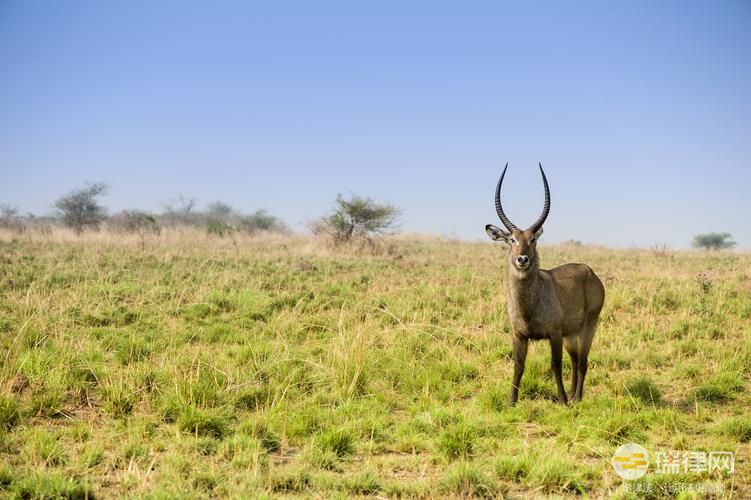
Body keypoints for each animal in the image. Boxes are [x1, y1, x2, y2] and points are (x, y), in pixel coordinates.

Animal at [488, 164, 604, 406]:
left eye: (533, 239)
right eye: (511, 239)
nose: (522, 259)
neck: (529, 305)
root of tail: (590, 272)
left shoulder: (554, 334)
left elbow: (556, 365)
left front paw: (561, 401)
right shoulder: (519, 335)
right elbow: (518, 365)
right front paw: (511, 401)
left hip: (588, 325)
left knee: (583, 361)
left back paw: (576, 398)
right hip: (571, 334)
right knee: (576, 360)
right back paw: (574, 395)